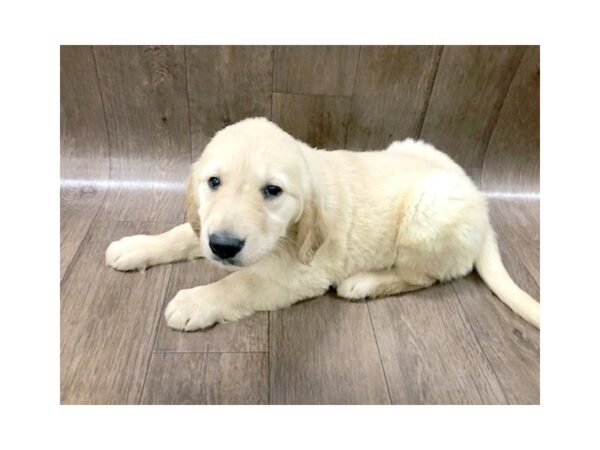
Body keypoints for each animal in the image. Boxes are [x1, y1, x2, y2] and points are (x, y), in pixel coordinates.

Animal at [104, 118, 540, 330]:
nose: (224, 246)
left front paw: (195, 302)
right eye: (213, 182)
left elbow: (239, 283)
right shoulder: (209, 226)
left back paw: (363, 282)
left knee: (424, 277)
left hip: (428, 214)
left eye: (273, 191)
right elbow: (184, 234)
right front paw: (135, 246)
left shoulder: (299, 274)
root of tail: (481, 198)